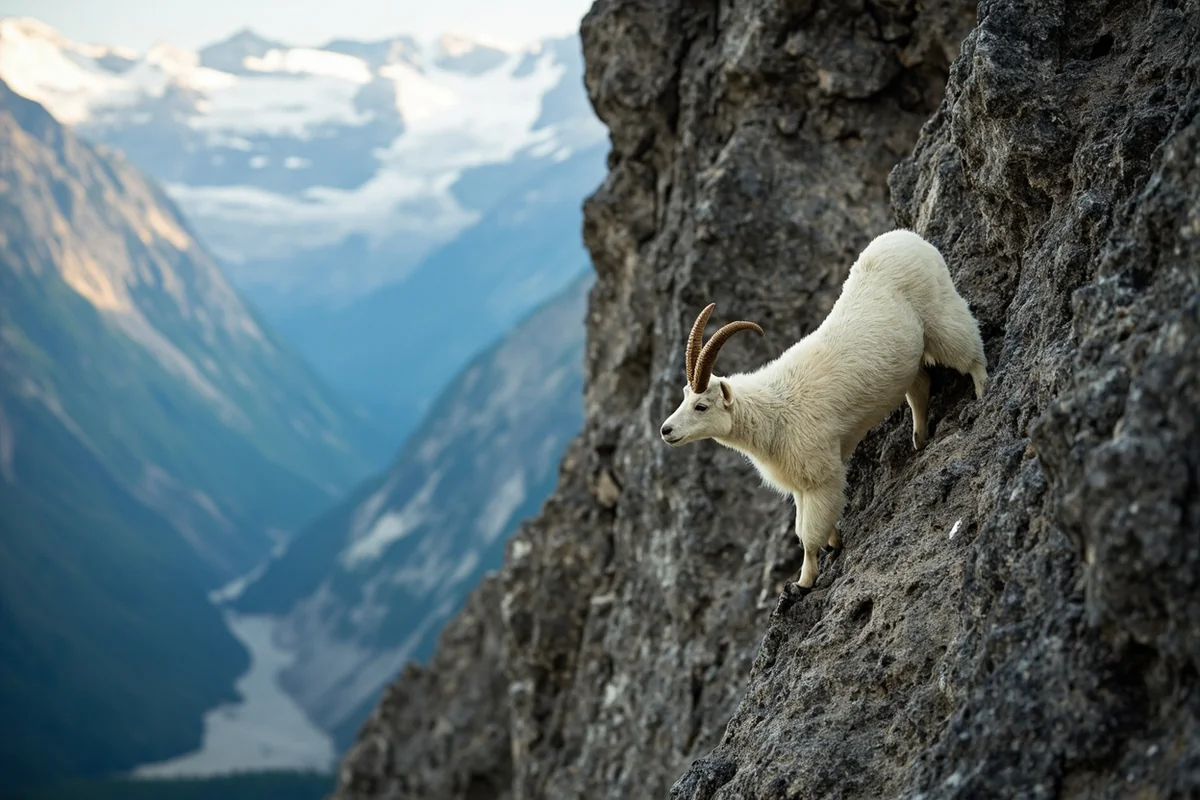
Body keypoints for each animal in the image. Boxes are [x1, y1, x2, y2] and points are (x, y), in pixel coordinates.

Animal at [659, 229, 988, 595]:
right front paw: (834, 544)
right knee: (920, 384)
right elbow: (806, 526)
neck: (773, 410)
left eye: (701, 405)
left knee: (969, 348)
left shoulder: (819, 474)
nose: (666, 430)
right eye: (683, 397)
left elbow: (807, 534)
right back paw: (920, 438)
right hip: (911, 356)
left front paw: (803, 582)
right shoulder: (801, 484)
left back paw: (983, 392)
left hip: (941, 314)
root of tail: (904, 236)